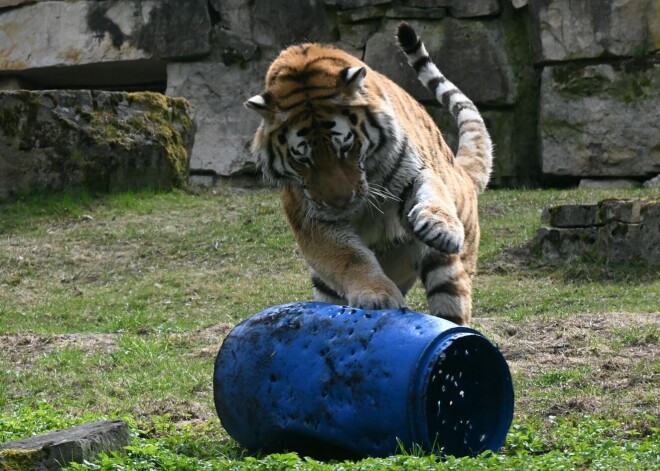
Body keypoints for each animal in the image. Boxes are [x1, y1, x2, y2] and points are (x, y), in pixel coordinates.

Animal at [245, 21, 492, 324]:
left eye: (346, 147)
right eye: (303, 159)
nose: (341, 202)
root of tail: (462, 173)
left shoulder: (414, 170)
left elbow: (433, 191)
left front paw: (440, 226)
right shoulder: (312, 220)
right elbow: (349, 256)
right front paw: (377, 296)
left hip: (448, 270)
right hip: (326, 285)